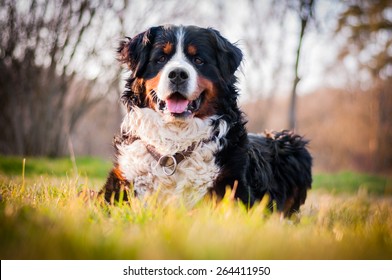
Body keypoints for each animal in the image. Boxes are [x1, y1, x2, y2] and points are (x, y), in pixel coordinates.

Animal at [102, 24, 312, 217]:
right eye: (161, 58)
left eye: (198, 60)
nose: (177, 74)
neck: (174, 147)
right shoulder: (119, 186)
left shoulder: (237, 191)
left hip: (292, 143)